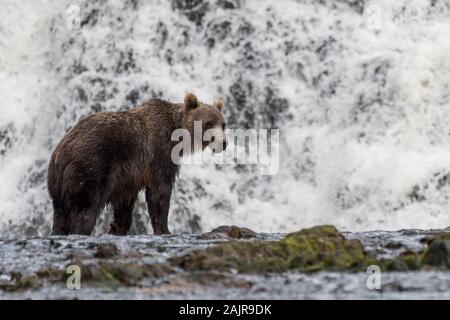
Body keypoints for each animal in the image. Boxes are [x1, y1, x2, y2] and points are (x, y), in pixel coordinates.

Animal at [47, 92, 227, 235]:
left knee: (60, 214)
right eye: (209, 124)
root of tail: (60, 154)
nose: (223, 143)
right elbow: (160, 191)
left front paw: (116, 229)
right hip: (88, 169)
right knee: (84, 210)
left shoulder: (128, 176)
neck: (179, 136)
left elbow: (125, 204)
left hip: (58, 186)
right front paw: (165, 230)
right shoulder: (158, 153)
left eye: (223, 124)